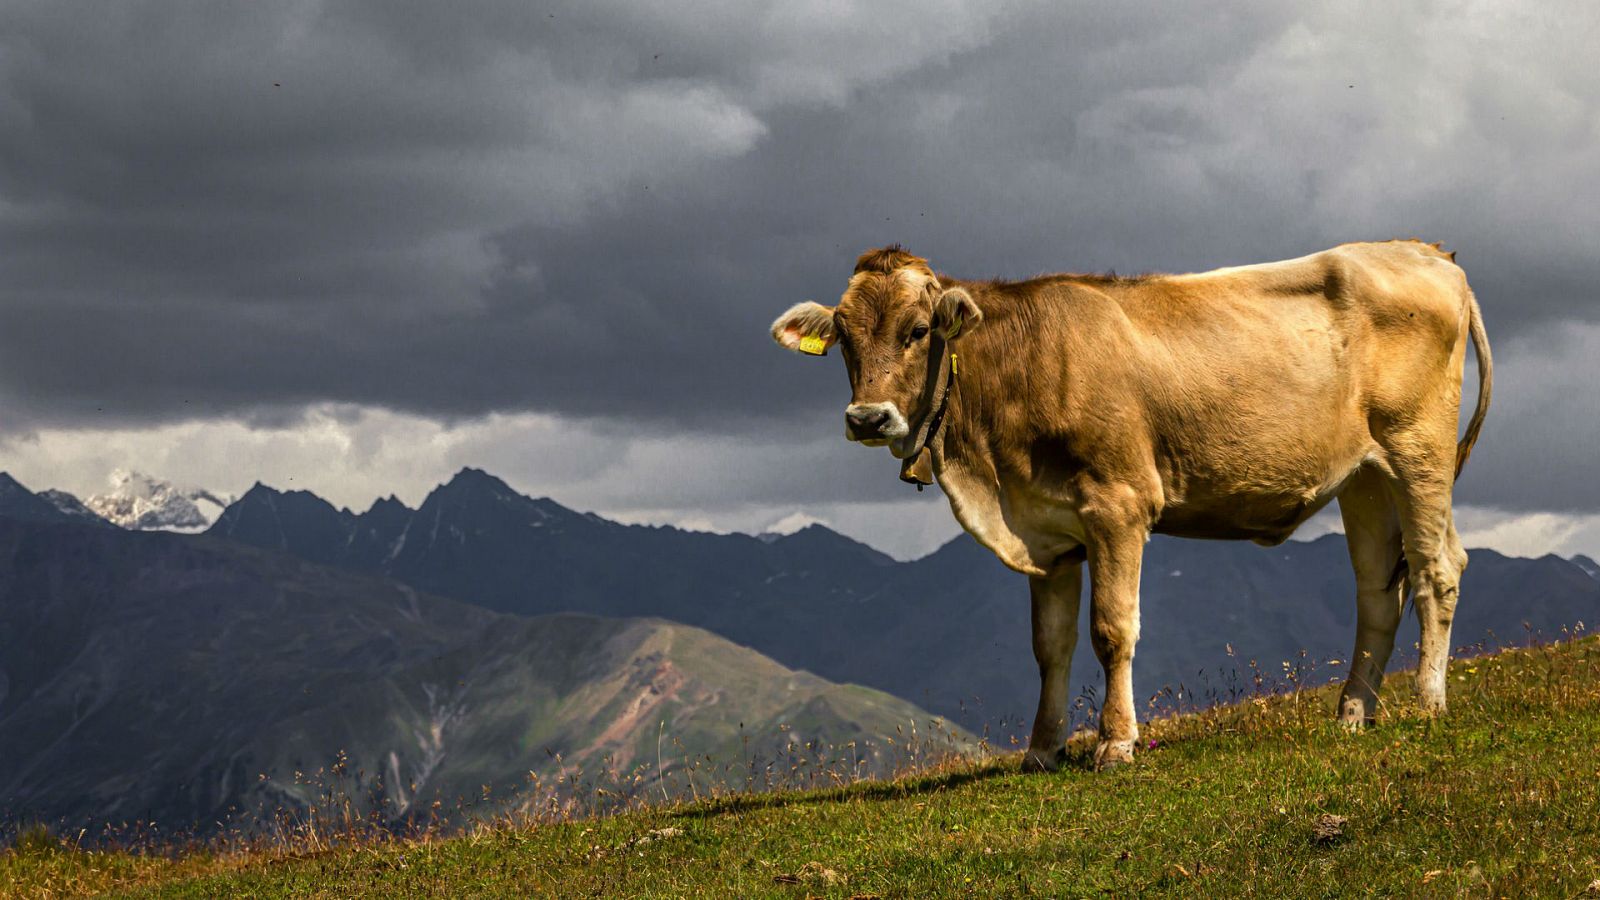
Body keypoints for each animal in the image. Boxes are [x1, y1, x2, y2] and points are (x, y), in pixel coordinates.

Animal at [768, 241, 1491, 768]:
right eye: (844, 338)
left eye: (918, 330)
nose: (867, 417)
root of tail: (1425, 251)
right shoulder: (1048, 533)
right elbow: (1050, 646)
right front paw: (1042, 751)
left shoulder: (1118, 507)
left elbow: (1112, 630)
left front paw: (1115, 742)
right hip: (1366, 478)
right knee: (1379, 590)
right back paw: (1352, 714)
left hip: (1419, 451)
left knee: (1437, 570)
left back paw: (1427, 703)